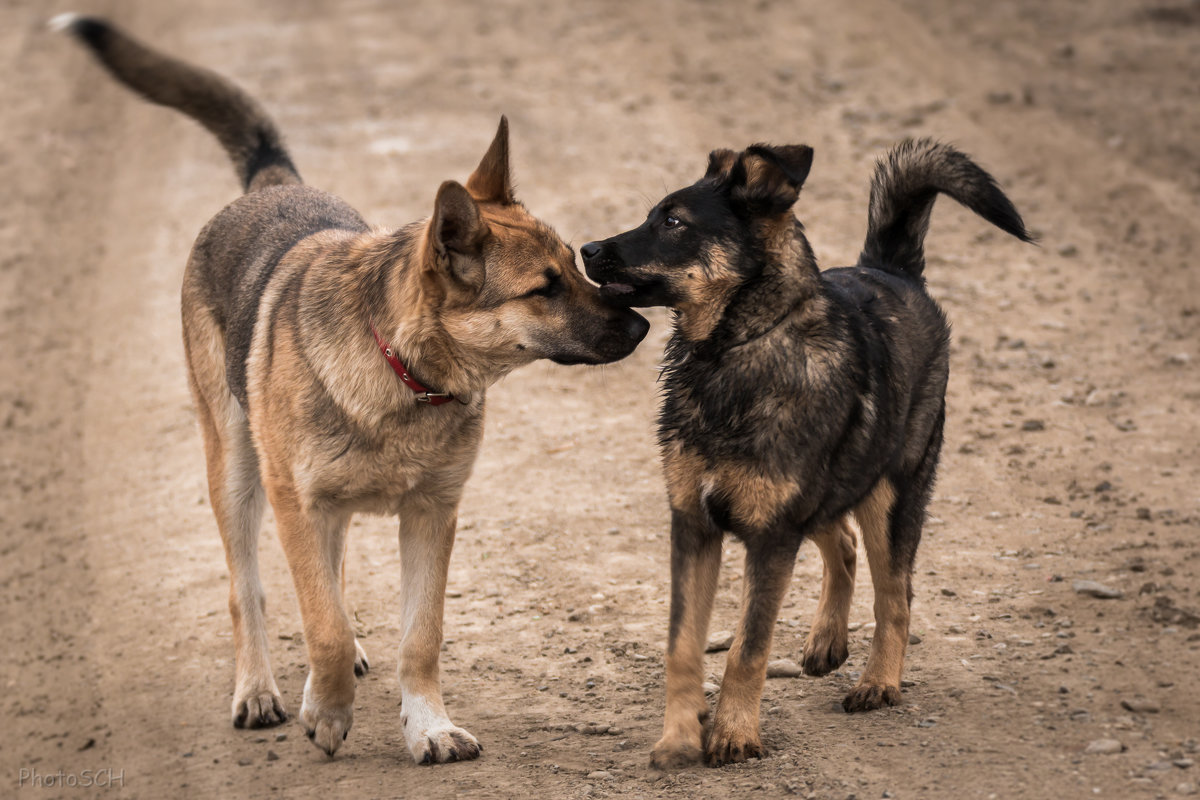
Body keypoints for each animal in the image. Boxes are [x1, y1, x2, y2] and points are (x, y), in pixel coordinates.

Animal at [57, 15, 652, 762]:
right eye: (544, 289)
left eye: (575, 265)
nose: (643, 323)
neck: (403, 371)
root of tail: (271, 184)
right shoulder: (296, 499)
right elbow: (323, 627)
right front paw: (328, 711)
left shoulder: (431, 513)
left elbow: (416, 637)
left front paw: (428, 726)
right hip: (237, 470)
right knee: (249, 590)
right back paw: (259, 689)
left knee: (331, 577)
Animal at [583, 140, 1032, 767]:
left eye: (673, 222)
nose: (585, 249)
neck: (736, 347)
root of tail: (892, 269)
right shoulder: (694, 523)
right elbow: (683, 645)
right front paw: (678, 739)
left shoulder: (772, 533)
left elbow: (748, 647)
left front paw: (734, 734)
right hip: (829, 485)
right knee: (841, 543)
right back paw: (827, 641)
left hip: (891, 493)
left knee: (895, 593)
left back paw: (879, 682)